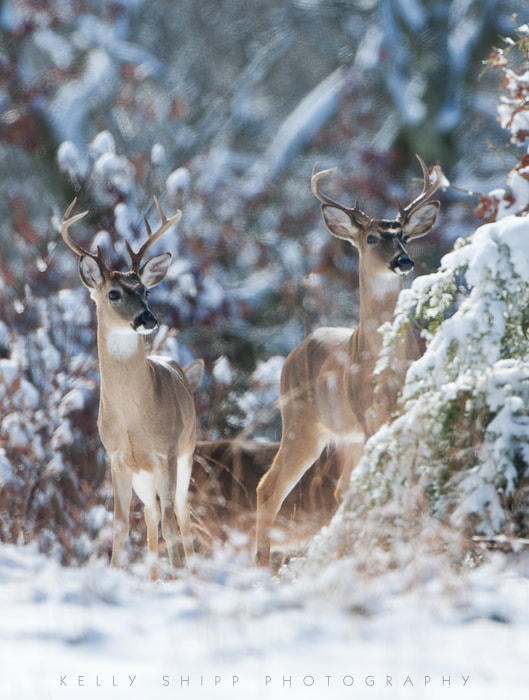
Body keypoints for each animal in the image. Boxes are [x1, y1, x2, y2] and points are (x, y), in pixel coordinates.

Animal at [60, 198, 203, 580]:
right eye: (114, 293)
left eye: (146, 290)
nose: (148, 319)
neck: (132, 415)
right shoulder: (118, 458)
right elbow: (121, 527)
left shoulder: (166, 451)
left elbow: (171, 524)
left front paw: (180, 577)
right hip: (144, 475)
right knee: (152, 516)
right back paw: (152, 580)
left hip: (185, 453)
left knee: (180, 513)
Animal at [256, 156, 442, 568]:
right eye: (371, 238)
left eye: (405, 236)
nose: (403, 261)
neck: (384, 362)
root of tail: (292, 354)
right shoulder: (368, 413)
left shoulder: (401, 410)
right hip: (301, 423)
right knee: (269, 486)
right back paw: (260, 563)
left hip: (346, 436)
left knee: (341, 490)